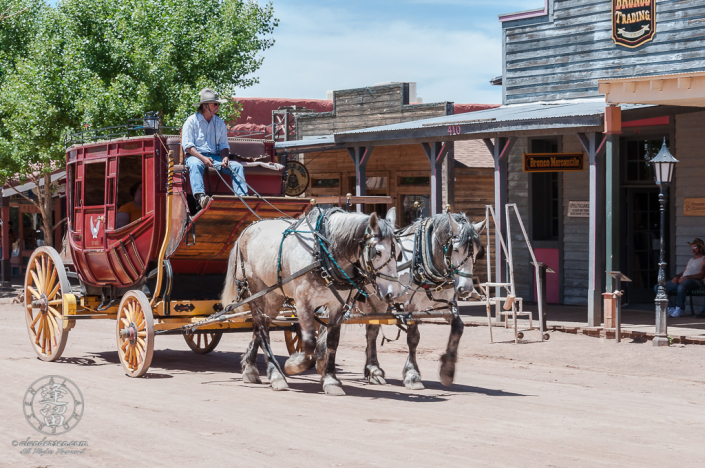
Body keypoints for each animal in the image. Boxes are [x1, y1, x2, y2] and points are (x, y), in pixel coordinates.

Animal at [223, 207, 398, 394]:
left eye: (400, 253)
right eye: (377, 252)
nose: (391, 294)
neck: (322, 253)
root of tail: (245, 231)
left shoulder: (337, 305)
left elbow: (332, 341)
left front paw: (331, 379)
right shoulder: (303, 302)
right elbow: (308, 342)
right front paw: (295, 365)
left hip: (273, 296)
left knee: (259, 327)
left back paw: (250, 367)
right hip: (254, 291)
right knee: (262, 331)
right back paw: (276, 375)